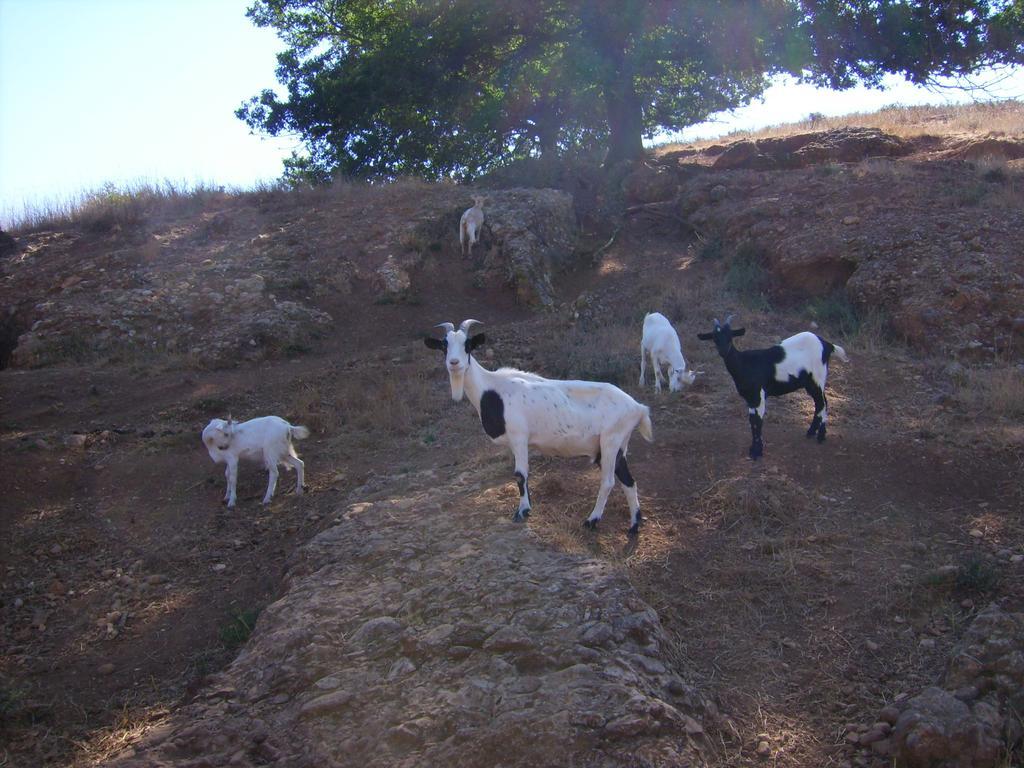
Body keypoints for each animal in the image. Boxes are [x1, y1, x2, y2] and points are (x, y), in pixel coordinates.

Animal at [425, 319, 651, 536]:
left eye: (467, 345)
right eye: (444, 345)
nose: (454, 363)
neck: (491, 390)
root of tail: (638, 407)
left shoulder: (519, 436)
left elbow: (520, 474)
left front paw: (522, 511)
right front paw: (528, 508)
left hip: (610, 441)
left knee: (608, 482)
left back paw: (591, 521)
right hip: (617, 445)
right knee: (629, 482)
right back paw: (633, 526)